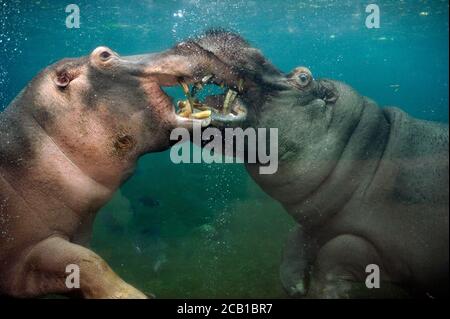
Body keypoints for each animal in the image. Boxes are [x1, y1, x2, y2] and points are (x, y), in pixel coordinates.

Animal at [147, 31, 446, 298]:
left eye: (303, 77)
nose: (222, 32)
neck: (371, 149)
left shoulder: (385, 250)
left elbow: (335, 253)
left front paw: (323, 293)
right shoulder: (319, 223)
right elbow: (295, 237)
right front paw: (295, 286)